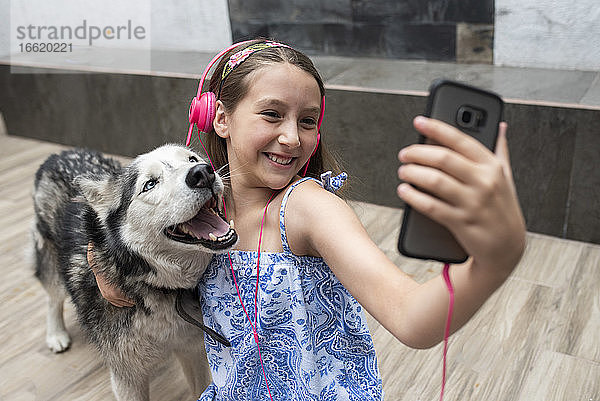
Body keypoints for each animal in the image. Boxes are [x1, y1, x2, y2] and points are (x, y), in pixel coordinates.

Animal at [31, 145, 237, 400]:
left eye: (192, 159)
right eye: (150, 184)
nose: (202, 173)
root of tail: (58, 154)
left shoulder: (191, 350)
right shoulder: (126, 375)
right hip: (52, 265)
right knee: (53, 298)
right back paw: (56, 334)